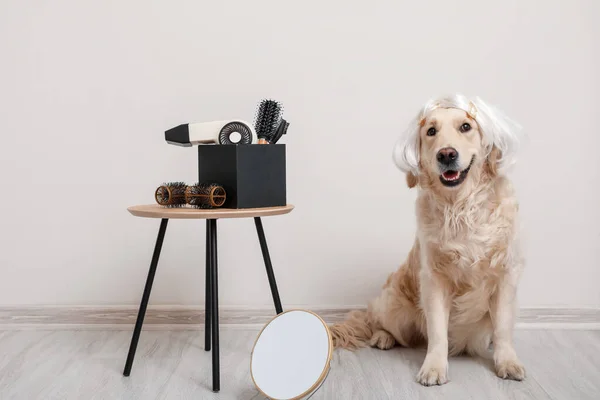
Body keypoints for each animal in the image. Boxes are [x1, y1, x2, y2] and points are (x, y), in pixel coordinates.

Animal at [332, 94, 524, 384]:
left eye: (466, 127)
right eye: (431, 131)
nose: (446, 154)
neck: (461, 207)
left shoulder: (504, 273)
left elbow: (502, 327)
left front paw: (508, 362)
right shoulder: (434, 278)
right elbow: (437, 331)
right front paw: (434, 367)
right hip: (396, 309)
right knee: (374, 319)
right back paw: (382, 337)